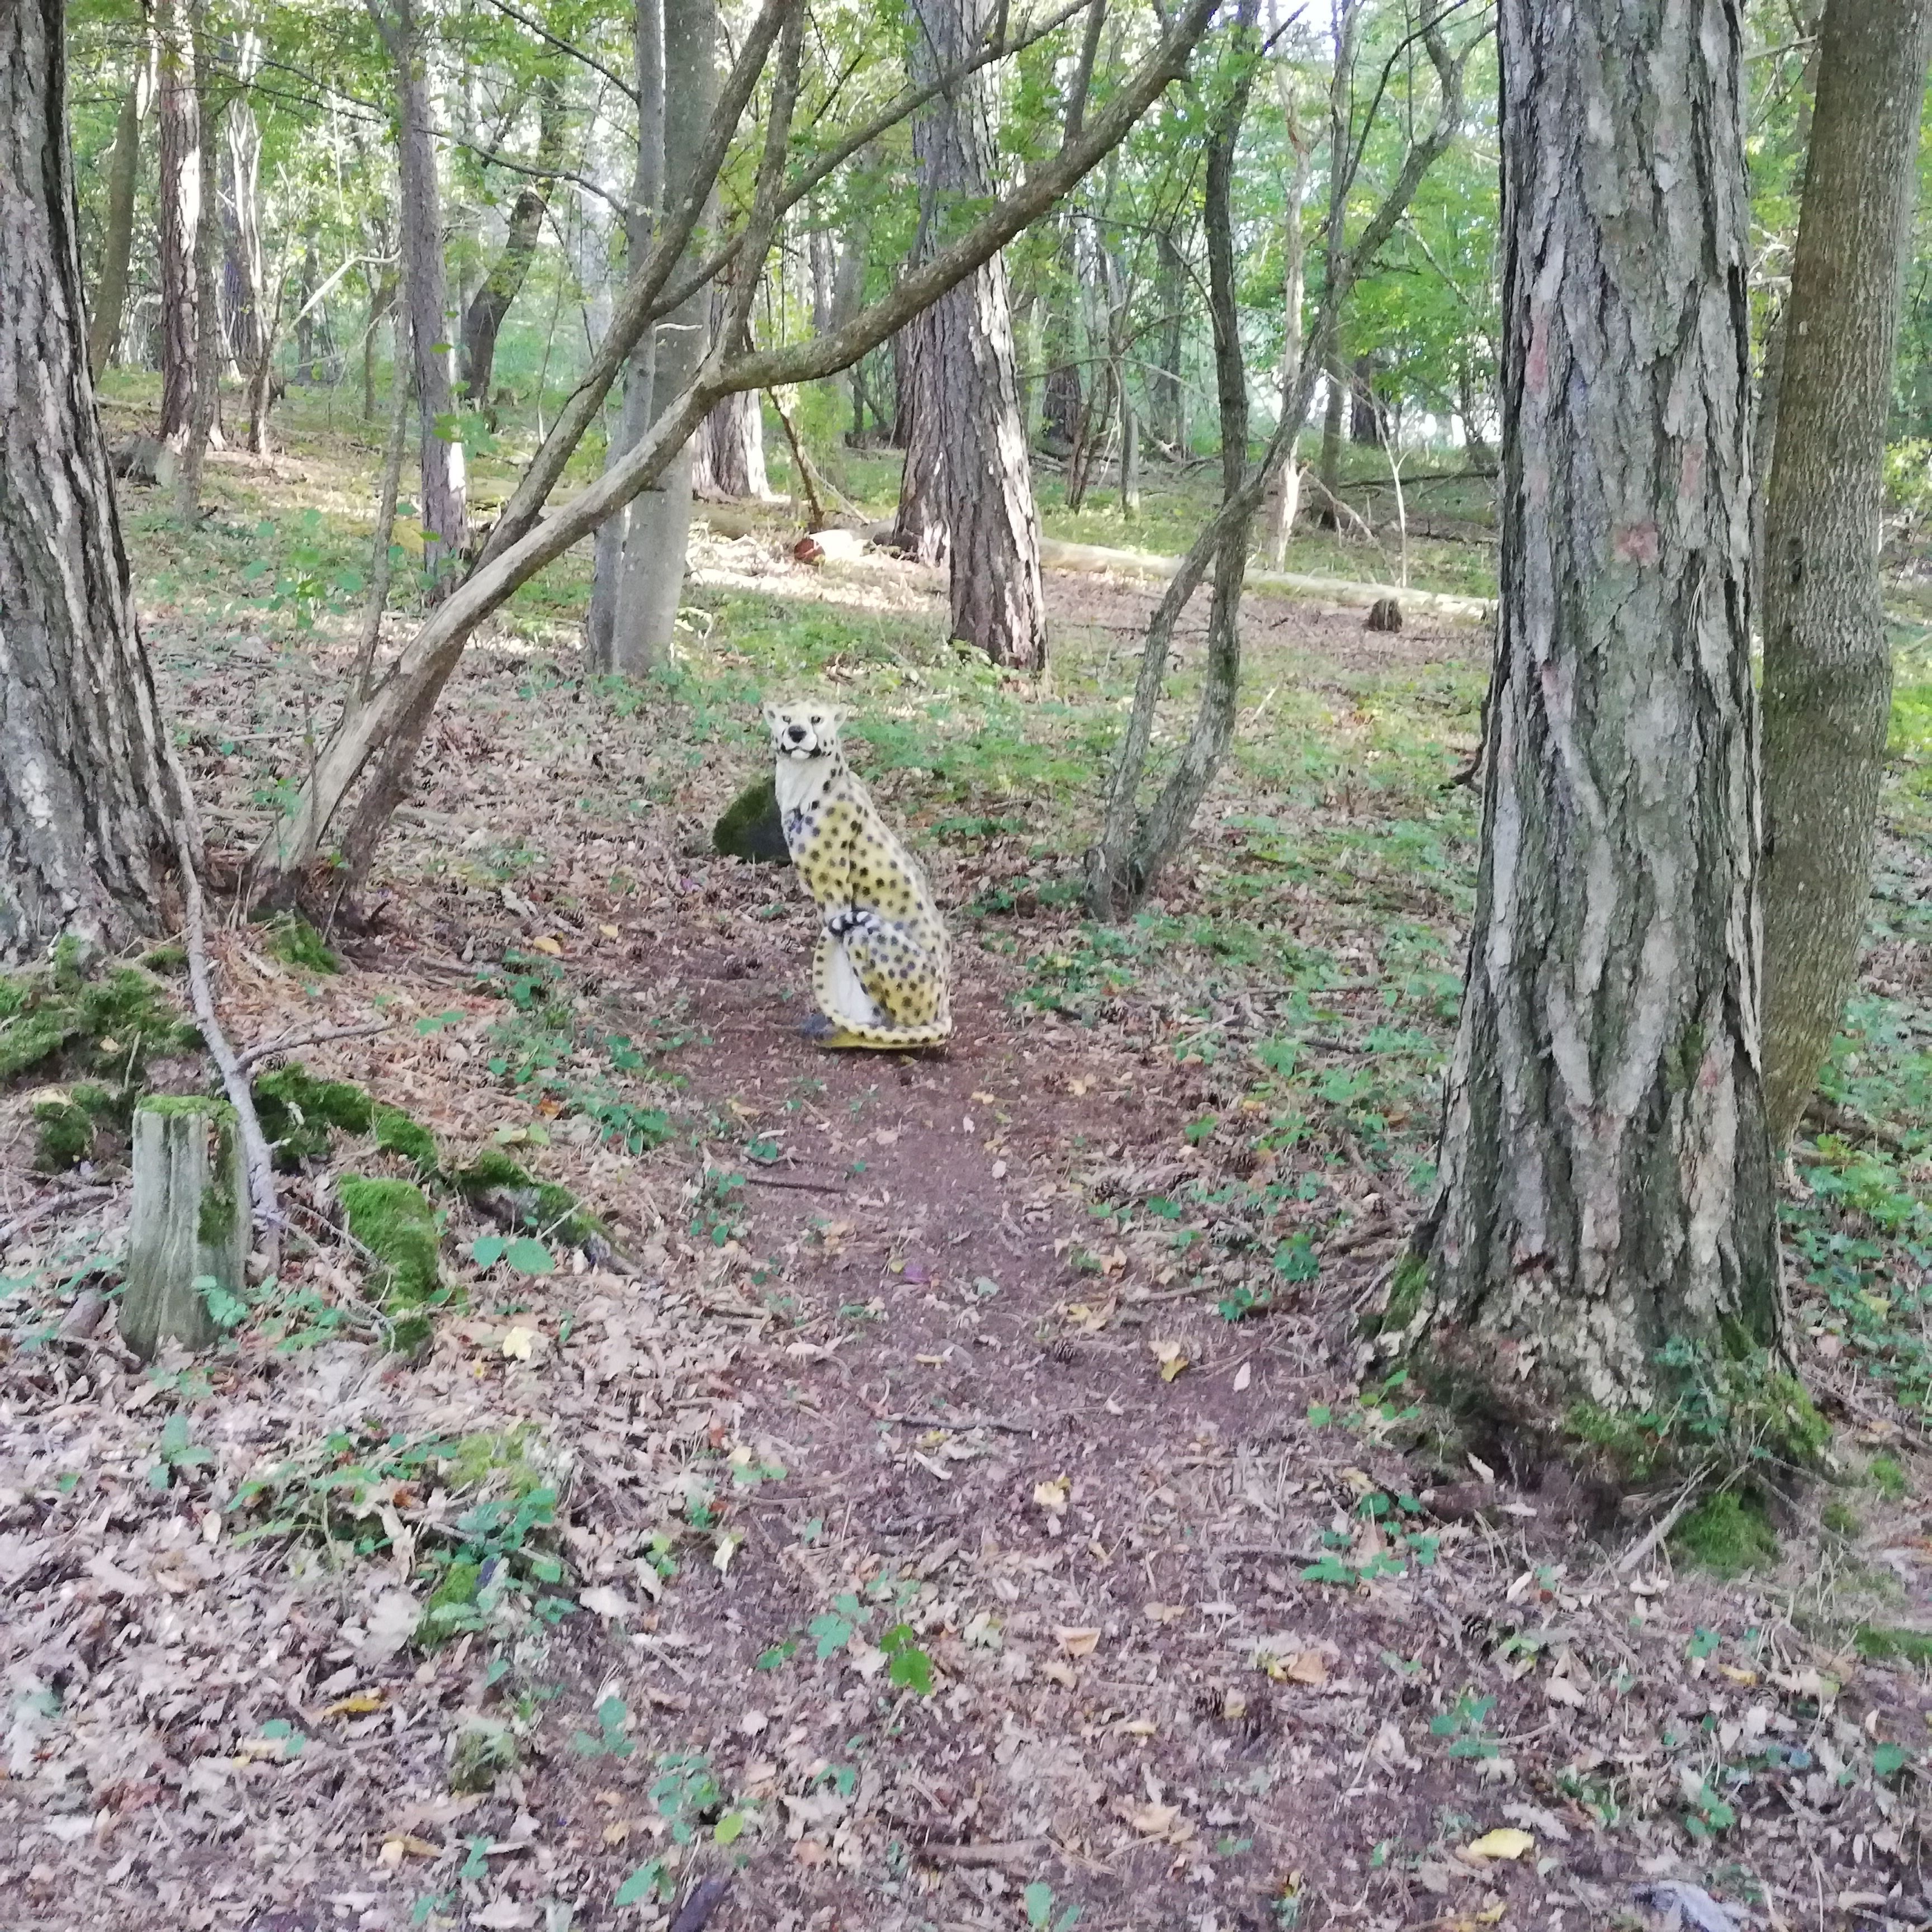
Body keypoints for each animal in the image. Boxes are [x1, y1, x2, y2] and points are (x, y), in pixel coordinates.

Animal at [764, 700, 952, 1051]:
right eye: (786, 718)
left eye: (816, 719)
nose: (796, 733)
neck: (802, 780)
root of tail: (944, 1004)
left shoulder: (836, 893)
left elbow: (837, 956)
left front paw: (840, 1019)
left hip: (870, 937)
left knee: (911, 1030)